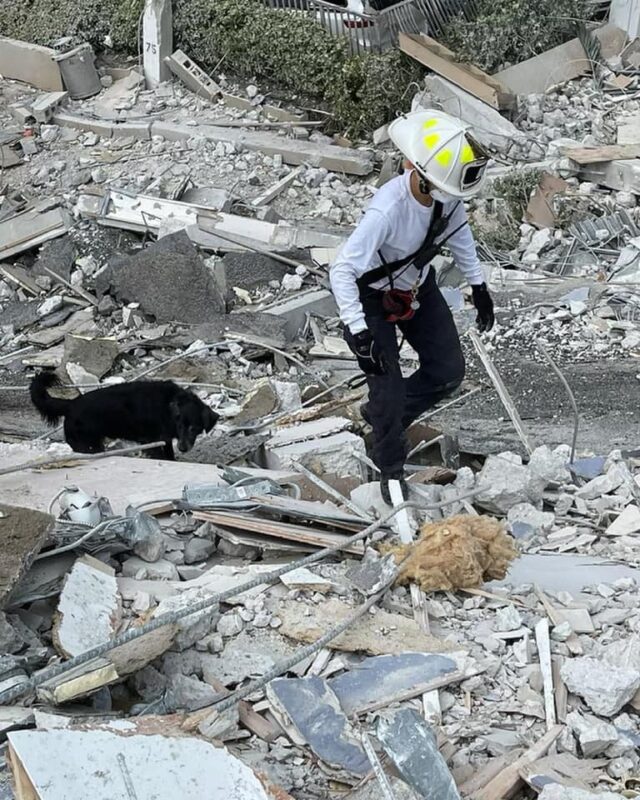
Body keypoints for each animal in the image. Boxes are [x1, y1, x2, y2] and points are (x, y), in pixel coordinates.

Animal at [30, 372, 219, 460]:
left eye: (194, 428)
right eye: (180, 426)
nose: (183, 448)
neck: (170, 404)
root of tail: (70, 404)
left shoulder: (164, 440)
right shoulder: (152, 442)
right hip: (87, 445)